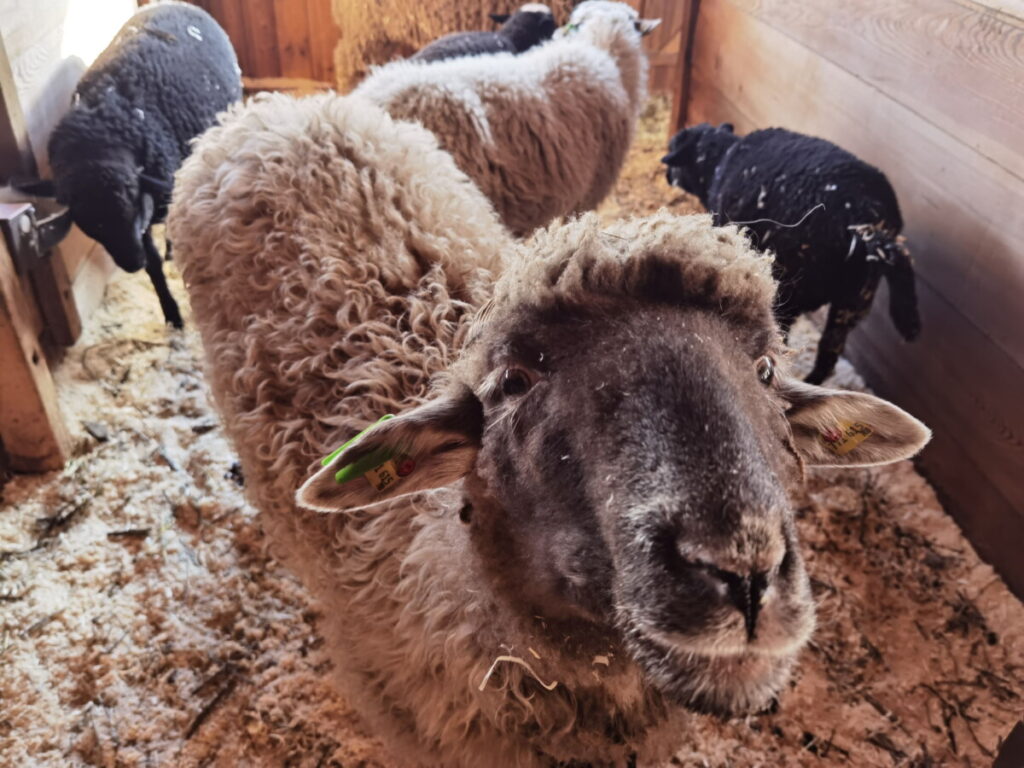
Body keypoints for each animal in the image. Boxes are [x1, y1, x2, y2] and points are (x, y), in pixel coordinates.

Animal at [25, 2, 241, 327]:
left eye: (131, 203)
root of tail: (172, 4)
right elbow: (154, 265)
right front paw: (170, 310)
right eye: (88, 221)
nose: (131, 263)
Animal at [663, 124, 921, 385]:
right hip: (853, 299)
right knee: (828, 355)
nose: (666, 177)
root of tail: (865, 219)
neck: (720, 159)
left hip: (790, 290)